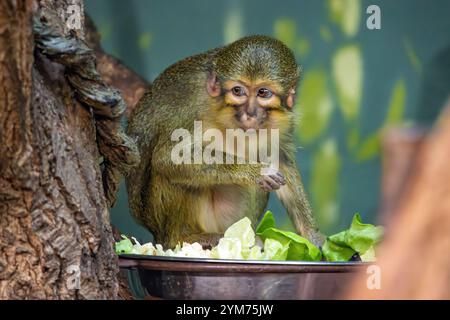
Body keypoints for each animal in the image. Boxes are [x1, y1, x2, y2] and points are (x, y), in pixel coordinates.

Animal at [126, 35, 324, 250]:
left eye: (263, 93)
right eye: (238, 91)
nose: (250, 112)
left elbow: (280, 158)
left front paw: (311, 235)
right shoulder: (191, 107)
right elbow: (168, 158)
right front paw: (254, 171)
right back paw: (182, 238)